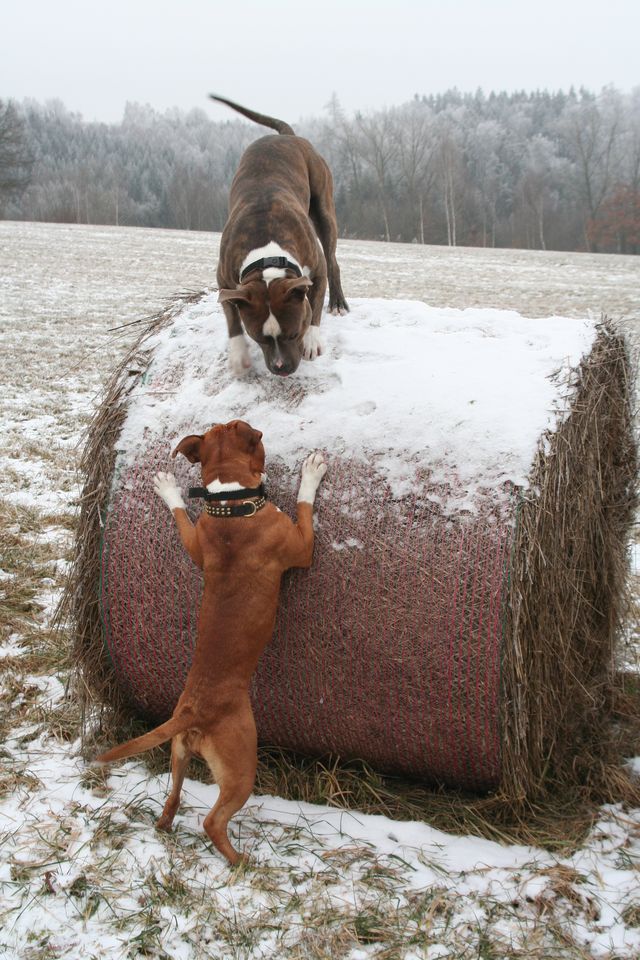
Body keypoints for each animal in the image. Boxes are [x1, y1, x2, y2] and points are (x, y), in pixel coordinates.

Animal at [97, 420, 328, 864]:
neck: (229, 502)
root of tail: (194, 712)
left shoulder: (196, 543)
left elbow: (181, 516)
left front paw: (167, 488)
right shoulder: (302, 546)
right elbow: (306, 505)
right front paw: (311, 472)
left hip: (177, 754)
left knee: (171, 802)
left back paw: (167, 827)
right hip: (241, 766)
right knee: (212, 821)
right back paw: (243, 863)